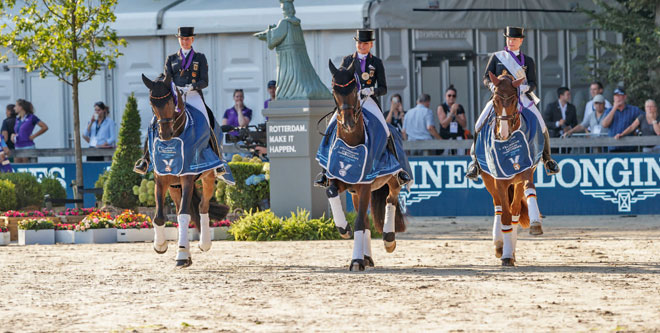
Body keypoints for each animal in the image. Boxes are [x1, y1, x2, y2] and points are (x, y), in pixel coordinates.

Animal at [326, 59, 408, 272]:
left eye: (355, 88)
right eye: (334, 89)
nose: (347, 122)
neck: (351, 143)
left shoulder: (364, 186)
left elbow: (359, 222)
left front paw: (355, 261)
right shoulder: (338, 180)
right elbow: (332, 193)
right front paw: (343, 229)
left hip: (391, 180)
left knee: (390, 199)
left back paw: (388, 239)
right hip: (355, 192)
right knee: (367, 220)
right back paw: (367, 257)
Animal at [482, 71, 544, 266]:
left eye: (515, 100)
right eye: (495, 100)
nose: (503, 133)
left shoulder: (526, 169)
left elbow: (529, 190)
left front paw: (535, 223)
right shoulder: (499, 179)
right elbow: (505, 216)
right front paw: (506, 255)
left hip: (515, 183)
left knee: (515, 210)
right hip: (489, 180)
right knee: (499, 207)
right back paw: (499, 245)